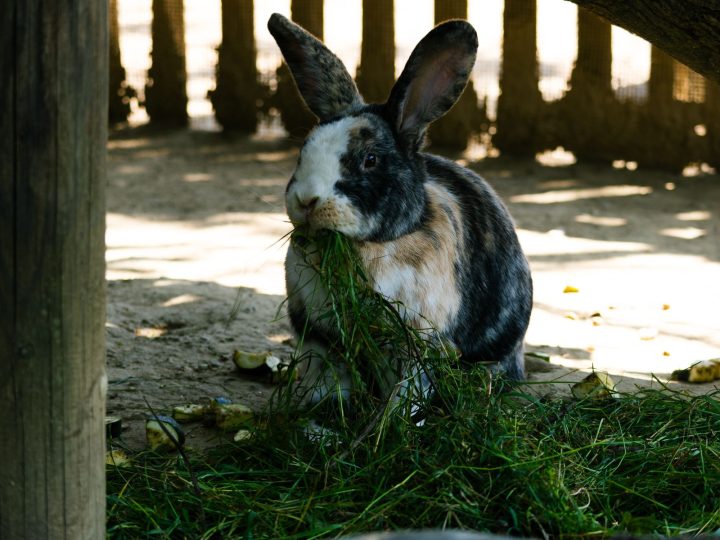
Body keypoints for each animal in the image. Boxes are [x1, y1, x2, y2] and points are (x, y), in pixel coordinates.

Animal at [268, 13, 533, 406]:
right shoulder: (318, 336)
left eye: (370, 160)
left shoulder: (420, 340)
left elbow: (410, 387)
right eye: (304, 150)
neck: (373, 247)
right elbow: (328, 377)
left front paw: (395, 418)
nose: (307, 200)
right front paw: (318, 410)